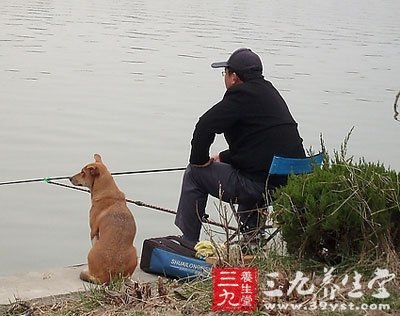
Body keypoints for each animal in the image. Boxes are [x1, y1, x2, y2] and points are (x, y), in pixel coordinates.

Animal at [69, 154, 138, 286]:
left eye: (83, 172)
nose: (69, 178)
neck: (106, 190)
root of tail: (107, 277)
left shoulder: (93, 231)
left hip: (91, 253)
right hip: (135, 253)